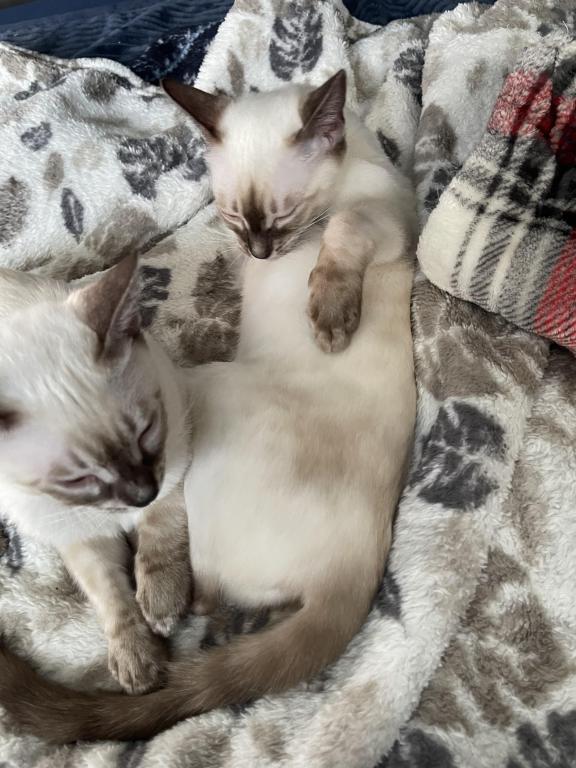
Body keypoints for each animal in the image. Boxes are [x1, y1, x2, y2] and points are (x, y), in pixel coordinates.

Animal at [0, 256, 192, 695]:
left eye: (146, 431)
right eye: (75, 480)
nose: (141, 493)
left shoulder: (173, 458)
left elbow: (160, 531)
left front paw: (161, 603)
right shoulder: (79, 534)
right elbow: (110, 595)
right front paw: (137, 660)